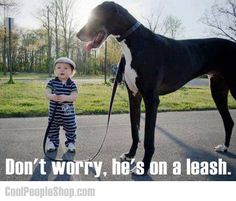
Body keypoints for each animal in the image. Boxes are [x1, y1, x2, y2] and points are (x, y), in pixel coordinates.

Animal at [78, 1, 236, 173]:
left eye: (96, 15)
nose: (78, 35)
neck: (134, 42)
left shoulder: (151, 99)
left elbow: (148, 137)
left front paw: (144, 166)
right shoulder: (134, 96)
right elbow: (134, 130)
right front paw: (130, 155)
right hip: (217, 91)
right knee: (228, 121)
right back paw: (225, 147)